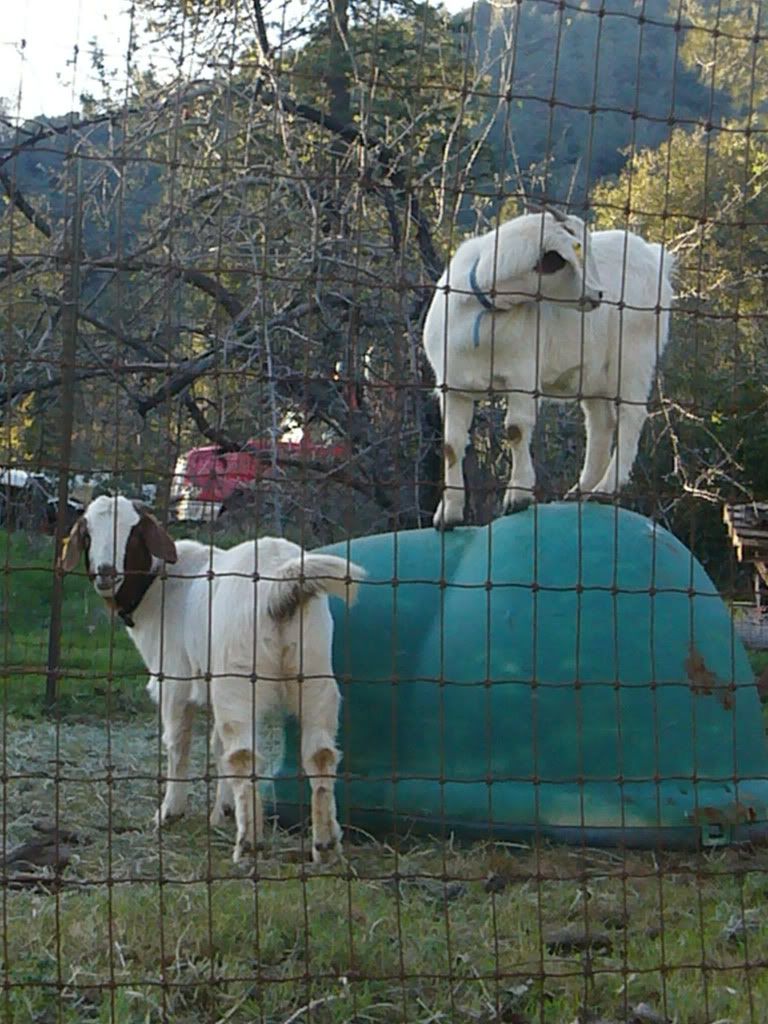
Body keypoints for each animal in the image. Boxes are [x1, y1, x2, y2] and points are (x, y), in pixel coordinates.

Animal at [60, 494, 365, 864]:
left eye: (132, 533)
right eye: (88, 533)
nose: (106, 573)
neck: (160, 586)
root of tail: (281, 581)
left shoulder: (174, 679)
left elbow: (179, 743)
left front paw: (170, 813)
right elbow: (217, 745)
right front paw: (223, 812)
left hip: (238, 676)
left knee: (244, 755)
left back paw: (248, 845)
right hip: (314, 669)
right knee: (319, 754)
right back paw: (325, 846)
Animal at [423, 209, 675, 528]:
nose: (599, 294)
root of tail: (655, 257)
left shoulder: (522, 375)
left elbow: (516, 429)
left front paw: (518, 497)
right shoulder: (453, 387)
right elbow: (451, 445)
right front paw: (448, 515)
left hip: (632, 357)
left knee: (631, 416)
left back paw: (605, 489)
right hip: (595, 373)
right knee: (601, 423)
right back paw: (580, 491)